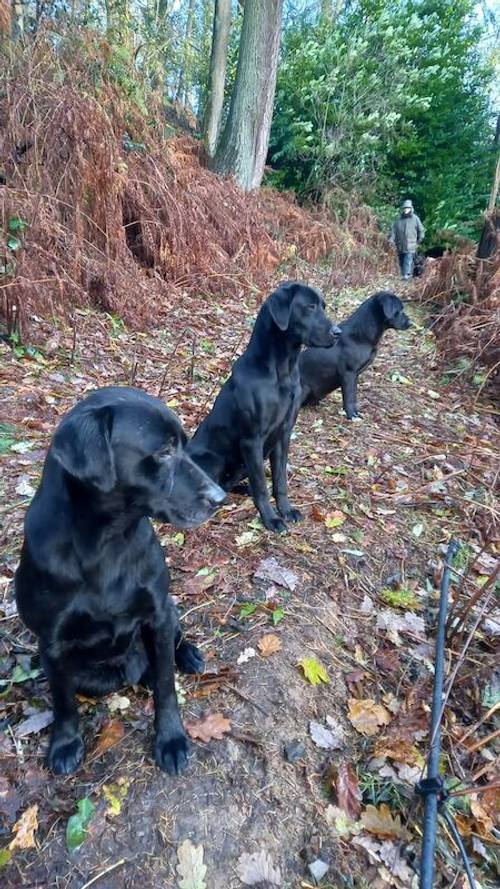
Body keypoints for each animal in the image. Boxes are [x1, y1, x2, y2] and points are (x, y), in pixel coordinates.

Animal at [14, 386, 225, 772]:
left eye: (184, 446)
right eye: (163, 451)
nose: (220, 497)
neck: (107, 543)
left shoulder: (158, 615)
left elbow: (166, 686)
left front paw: (171, 738)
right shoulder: (51, 643)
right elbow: (63, 701)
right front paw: (65, 744)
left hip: (170, 612)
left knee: (174, 643)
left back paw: (188, 655)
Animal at [188, 280, 340, 532]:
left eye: (324, 306)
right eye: (309, 307)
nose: (338, 333)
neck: (281, 371)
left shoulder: (283, 434)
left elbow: (279, 480)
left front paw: (286, 510)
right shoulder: (252, 440)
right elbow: (261, 485)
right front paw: (271, 519)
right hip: (214, 459)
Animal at [300, 290, 410, 418]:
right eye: (399, 309)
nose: (411, 323)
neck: (361, 335)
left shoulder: (356, 375)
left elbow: (354, 396)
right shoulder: (348, 373)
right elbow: (349, 397)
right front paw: (352, 416)